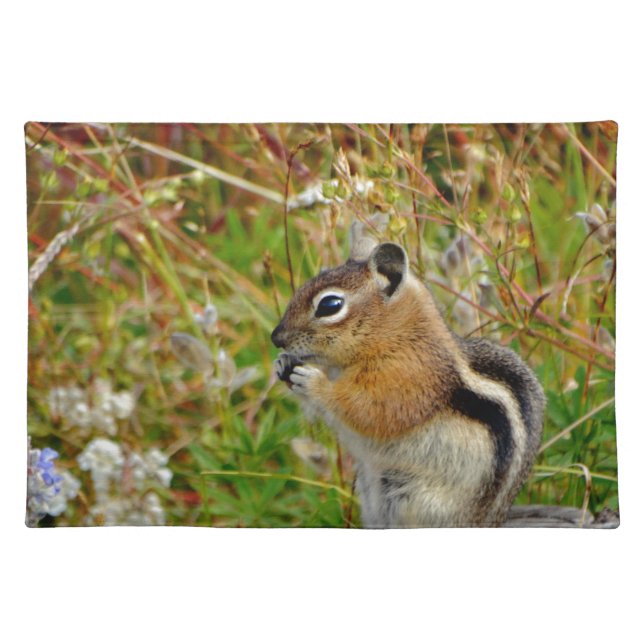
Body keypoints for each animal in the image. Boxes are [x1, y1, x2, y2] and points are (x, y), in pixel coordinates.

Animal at [271, 241, 545, 527]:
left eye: (330, 304)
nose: (275, 338)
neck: (399, 336)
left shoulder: (406, 377)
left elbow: (365, 409)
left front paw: (313, 381)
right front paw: (283, 363)